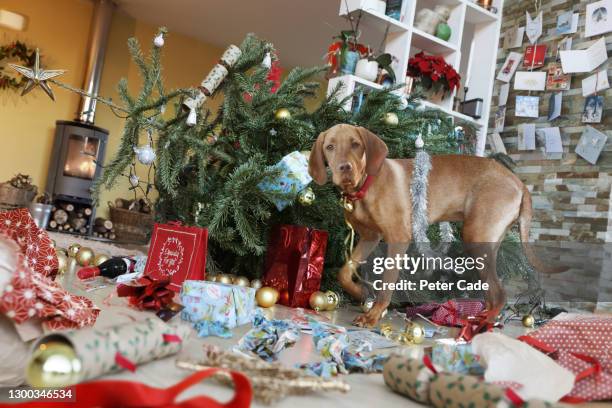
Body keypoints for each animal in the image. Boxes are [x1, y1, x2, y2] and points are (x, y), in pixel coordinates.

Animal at [308, 124, 560, 328]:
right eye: (330, 147)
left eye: (356, 144)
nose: (345, 168)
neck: (365, 186)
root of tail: (519, 183)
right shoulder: (370, 237)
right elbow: (344, 271)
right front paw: (360, 291)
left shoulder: (398, 238)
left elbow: (387, 283)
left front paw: (373, 316)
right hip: (486, 243)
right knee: (490, 293)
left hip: (475, 237)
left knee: (499, 294)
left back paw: (479, 326)